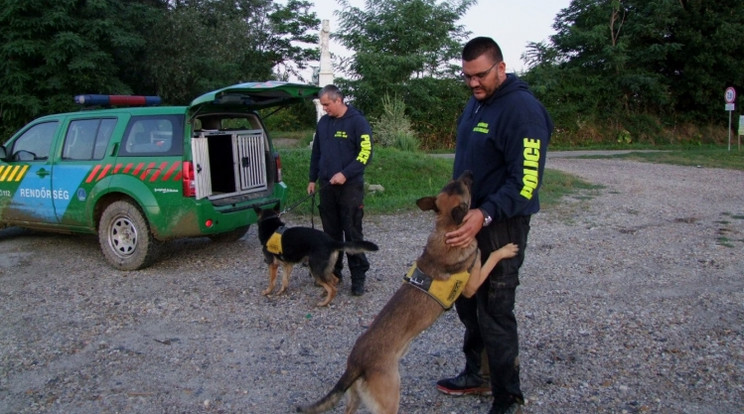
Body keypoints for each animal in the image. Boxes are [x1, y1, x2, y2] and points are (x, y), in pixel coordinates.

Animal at [294, 170, 516, 412]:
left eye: (455, 182)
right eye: (463, 186)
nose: (468, 172)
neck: (447, 228)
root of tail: (355, 363)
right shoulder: (472, 283)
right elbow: (490, 257)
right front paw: (506, 249)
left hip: (355, 399)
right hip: (390, 398)